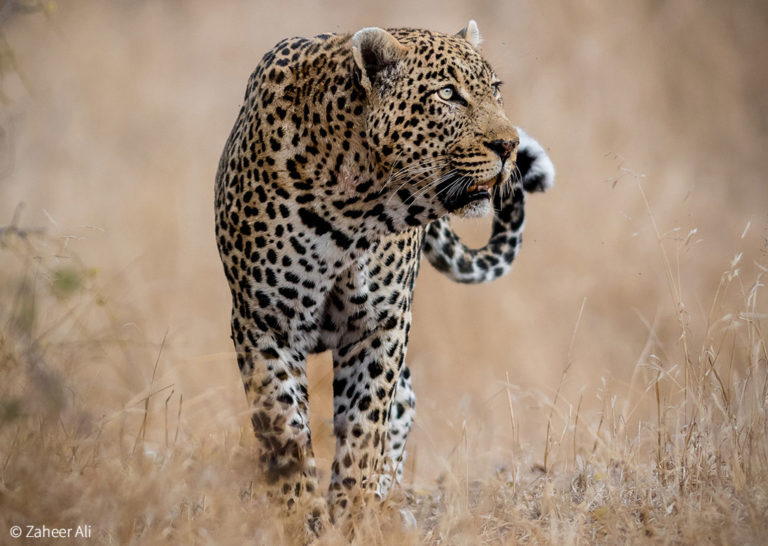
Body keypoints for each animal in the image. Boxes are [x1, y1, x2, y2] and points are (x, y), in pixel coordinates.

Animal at [214, 20, 554, 536]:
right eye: (448, 94)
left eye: (495, 89)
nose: (509, 146)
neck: (354, 207)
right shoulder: (264, 323)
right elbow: (283, 426)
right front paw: (301, 516)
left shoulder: (381, 325)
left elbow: (364, 427)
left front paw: (351, 515)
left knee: (405, 400)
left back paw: (386, 498)